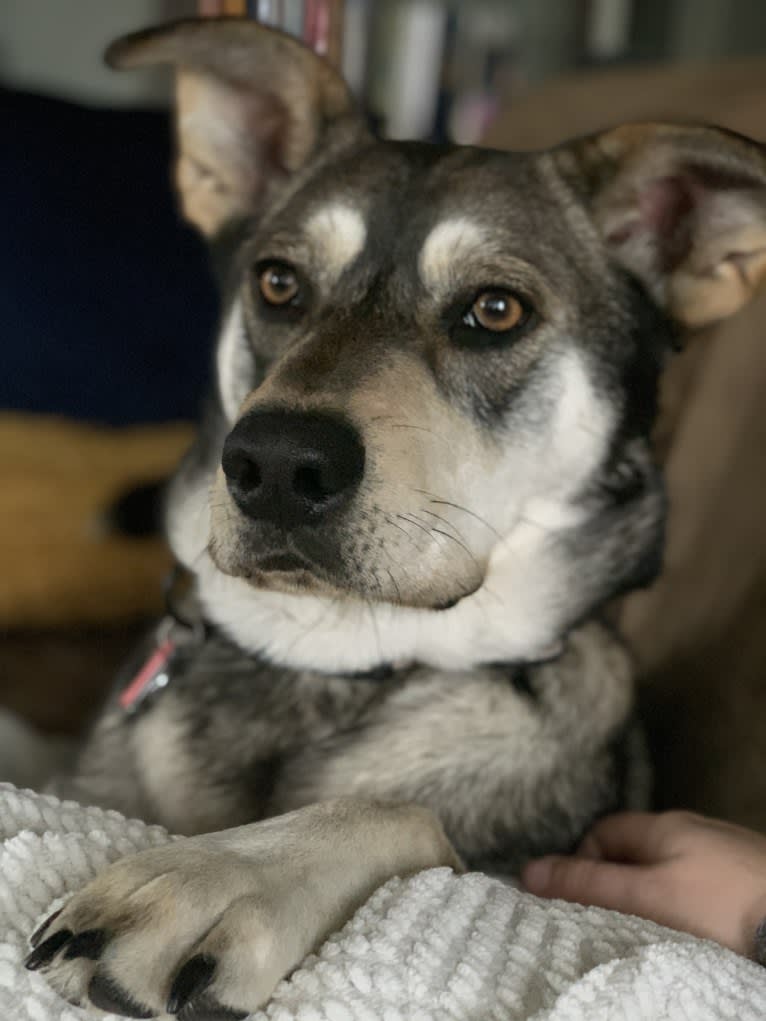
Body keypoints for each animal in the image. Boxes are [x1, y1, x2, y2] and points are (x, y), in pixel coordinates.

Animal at [22, 17, 766, 1021]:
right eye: (279, 283)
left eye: (496, 309)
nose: (276, 465)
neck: (335, 657)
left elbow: (394, 808)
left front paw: (210, 874)